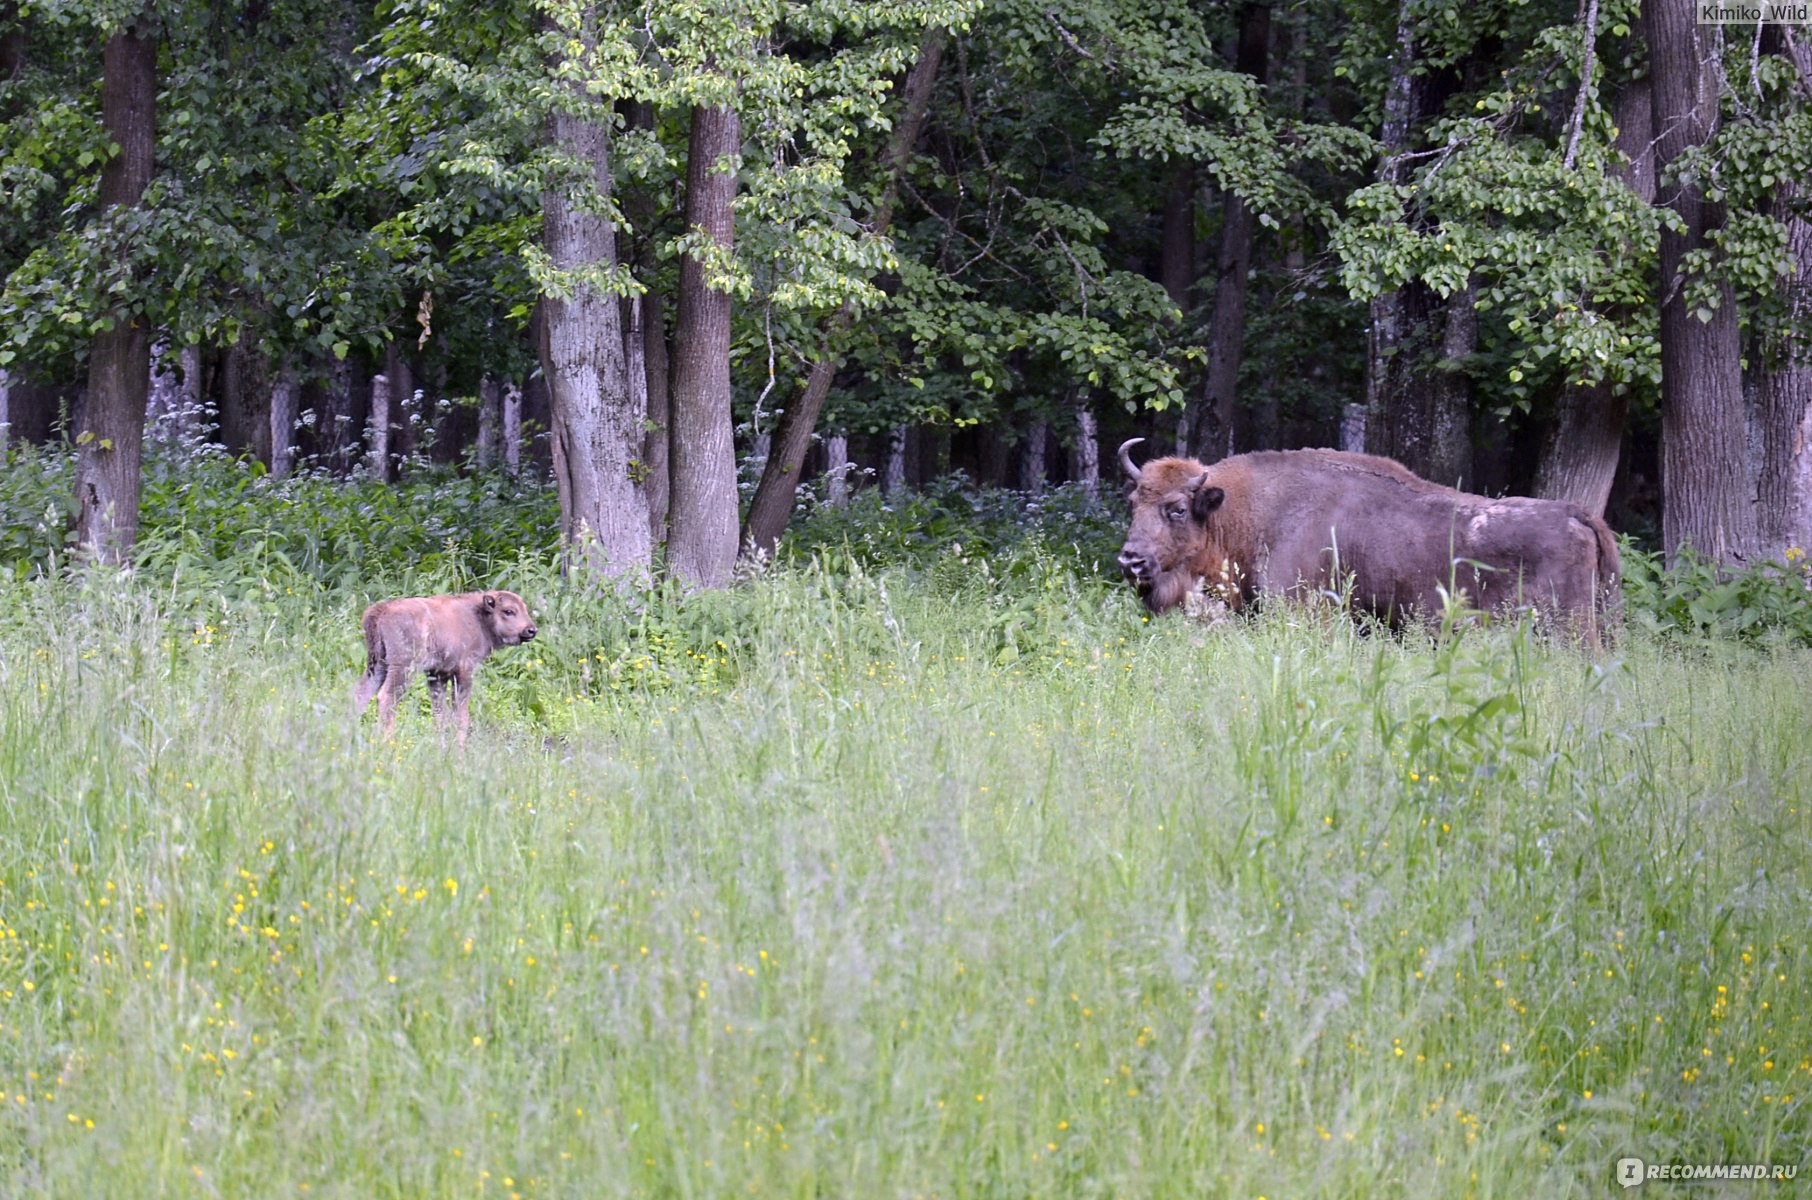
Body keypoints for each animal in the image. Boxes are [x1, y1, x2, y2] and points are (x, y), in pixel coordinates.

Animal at [351, 590, 532, 743]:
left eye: (525, 608)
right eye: (509, 611)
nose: (531, 630)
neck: (479, 618)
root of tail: (383, 609)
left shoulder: (438, 675)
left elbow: (439, 714)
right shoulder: (464, 671)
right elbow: (461, 715)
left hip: (378, 665)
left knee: (361, 694)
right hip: (403, 667)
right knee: (386, 697)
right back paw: (387, 741)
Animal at [1108, 442, 1623, 645]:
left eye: (1177, 508)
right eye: (1133, 501)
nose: (1130, 560)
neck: (1242, 510)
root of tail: (1576, 513)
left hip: (1570, 629)